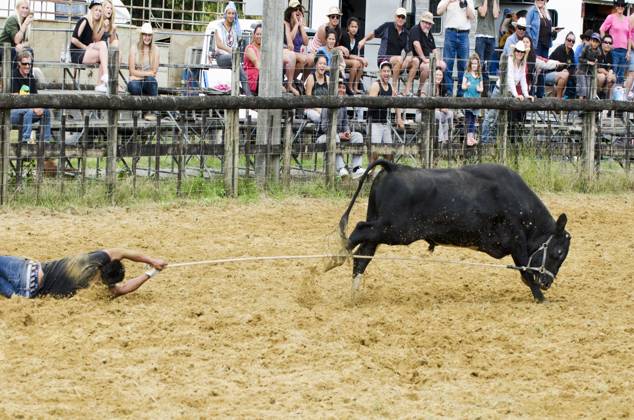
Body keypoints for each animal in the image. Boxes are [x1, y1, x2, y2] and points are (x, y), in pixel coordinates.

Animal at [326, 159, 572, 300]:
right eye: (557, 253)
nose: (547, 282)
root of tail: (394, 167)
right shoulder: (517, 241)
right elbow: (525, 270)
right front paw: (540, 297)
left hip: (382, 225)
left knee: (363, 254)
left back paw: (353, 291)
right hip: (393, 229)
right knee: (359, 230)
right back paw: (333, 259)